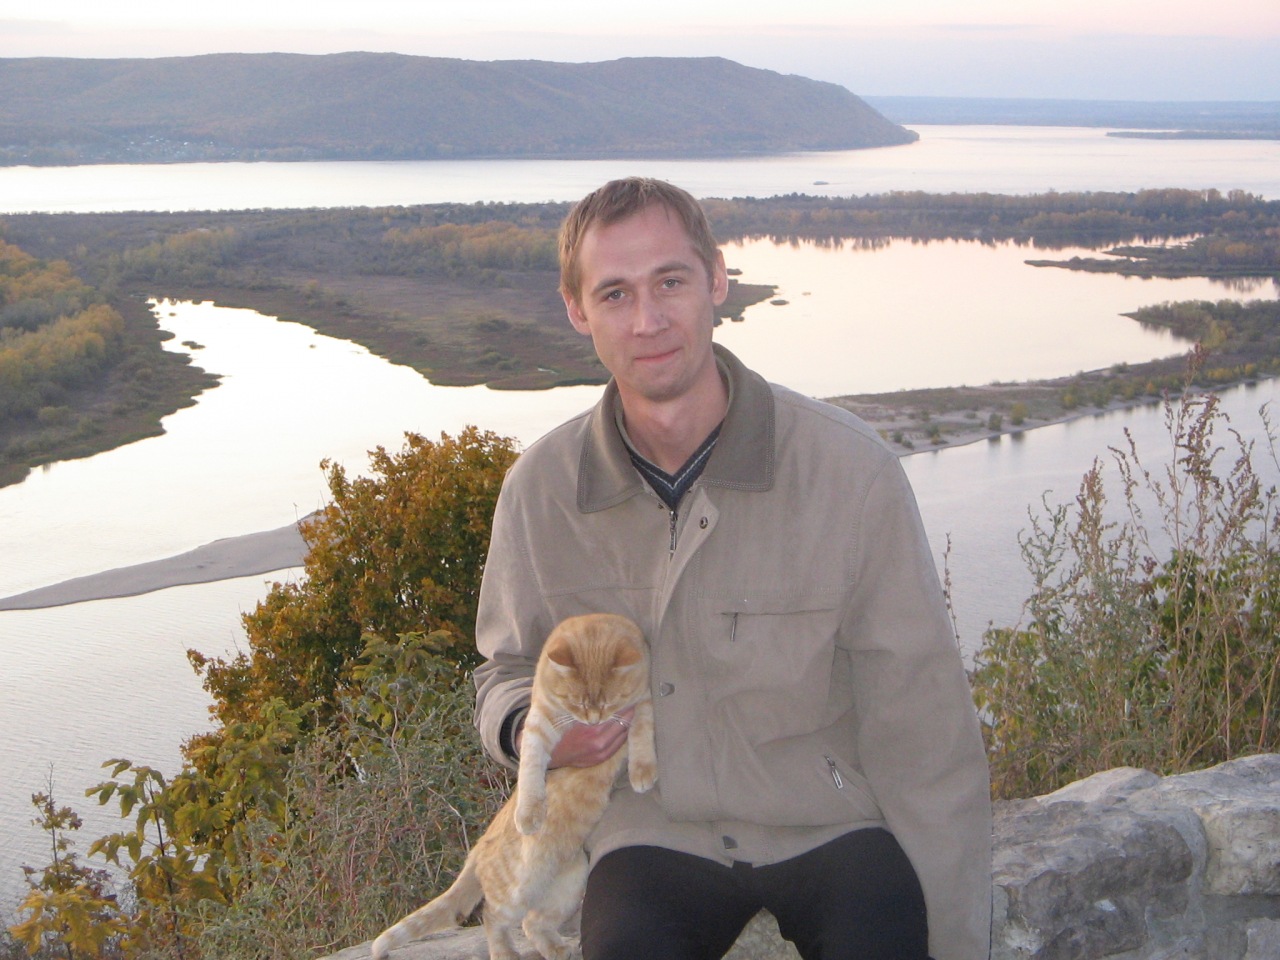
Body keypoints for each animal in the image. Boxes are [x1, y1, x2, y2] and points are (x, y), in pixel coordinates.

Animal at [371, 612, 657, 960]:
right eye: (574, 701)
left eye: (609, 701)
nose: (593, 720)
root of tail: (478, 846)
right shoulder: (538, 724)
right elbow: (531, 769)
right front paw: (529, 814)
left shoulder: (642, 702)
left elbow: (642, 730)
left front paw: (642, 770)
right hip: (517, 890)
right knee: (492, 916)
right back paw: (505, 952)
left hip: (571, 879)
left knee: (532, 922)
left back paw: (557, 948)